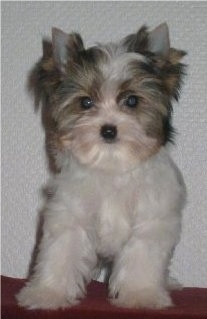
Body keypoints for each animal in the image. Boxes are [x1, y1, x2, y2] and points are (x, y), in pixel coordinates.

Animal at [17, 23, 187, 312]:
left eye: (132, 101)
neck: (112, 163)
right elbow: (61, 251)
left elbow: (142, 253)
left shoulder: (152, 217)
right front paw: (47, 293)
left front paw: (140, 295)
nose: (108, 130)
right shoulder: (70, 214)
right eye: (85, 102)